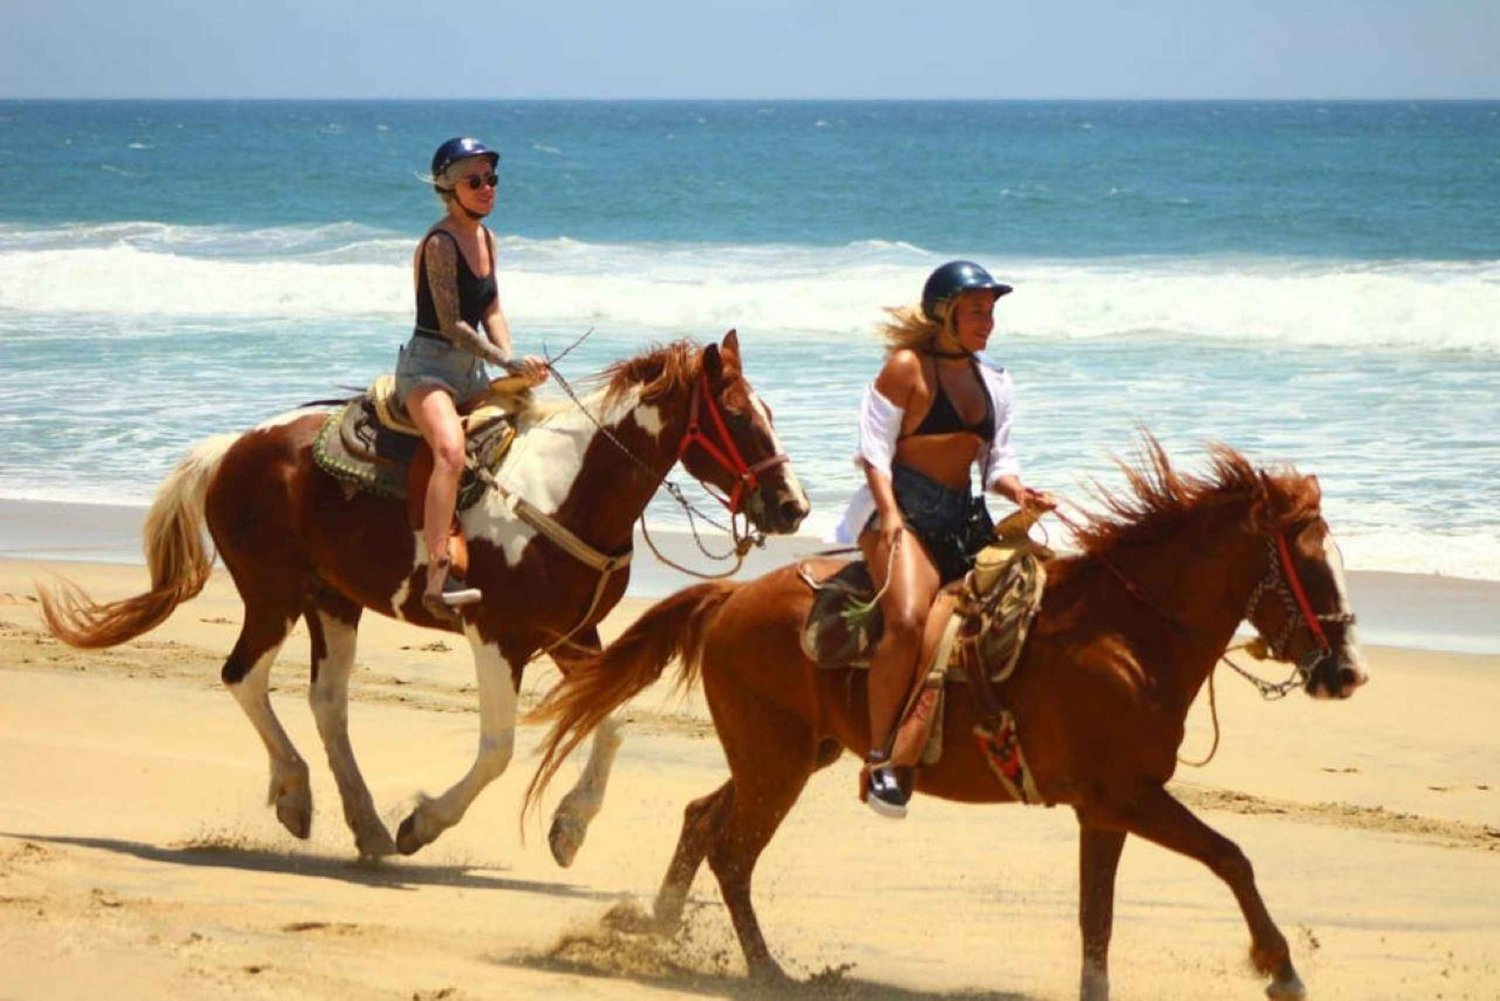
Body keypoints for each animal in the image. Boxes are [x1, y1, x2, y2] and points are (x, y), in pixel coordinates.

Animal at [38, 330, 810, 864]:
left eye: (770, 410)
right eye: (738, 415)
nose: (792, 506)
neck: (569, 488)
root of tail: (231, 447)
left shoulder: (572, 633)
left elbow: (612, 719)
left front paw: (568, 827)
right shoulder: (498, 634)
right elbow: (499, 747)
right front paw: (425, 822)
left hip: (332, 600)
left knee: (327, 704)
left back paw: (365, 824)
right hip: (272, 594)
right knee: (244, 677)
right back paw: (302, 794)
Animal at [531, 444, 1374, 1001]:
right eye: (1308, 564)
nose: (1346, 672)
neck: (1127, 632)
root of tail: (731, 598)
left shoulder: (1104, 812)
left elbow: (1096, 920)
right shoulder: (1129, 796)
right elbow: (1232, 857)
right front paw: (1281, 966)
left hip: (790, 754)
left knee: (703, 819)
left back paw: (661, 931)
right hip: (776, 764)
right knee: (732, 852)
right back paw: (766, 969)